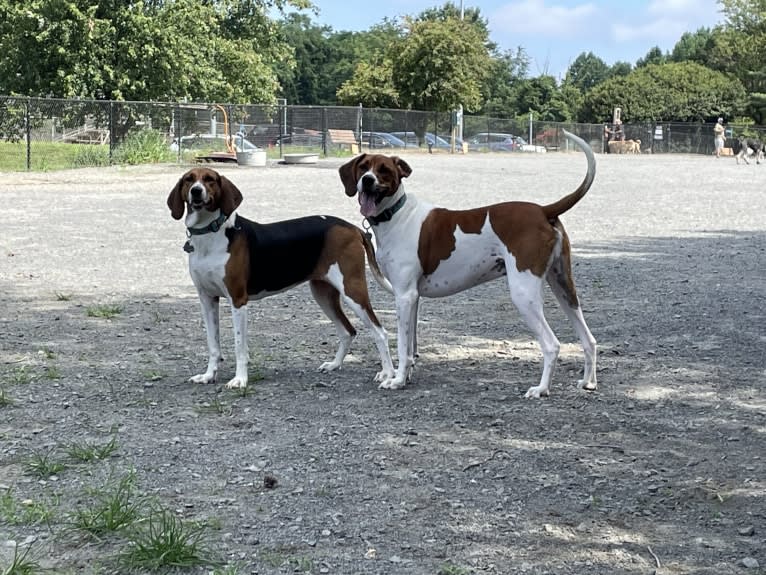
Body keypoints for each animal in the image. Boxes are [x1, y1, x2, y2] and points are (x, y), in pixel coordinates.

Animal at [340, 131, 600, 400]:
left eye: (384, 170)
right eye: (363, 167)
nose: (367, 180)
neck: (397, 215)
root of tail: (542, 210)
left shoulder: (404, 295)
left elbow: (402, 345)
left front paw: (397, 380)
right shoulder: (413, 298)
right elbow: (410, 346)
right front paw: (406, 375)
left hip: (524, 294)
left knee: (551, 345)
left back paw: (541, 389)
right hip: (563, 286)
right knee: (589, 340)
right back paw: (588, 382)